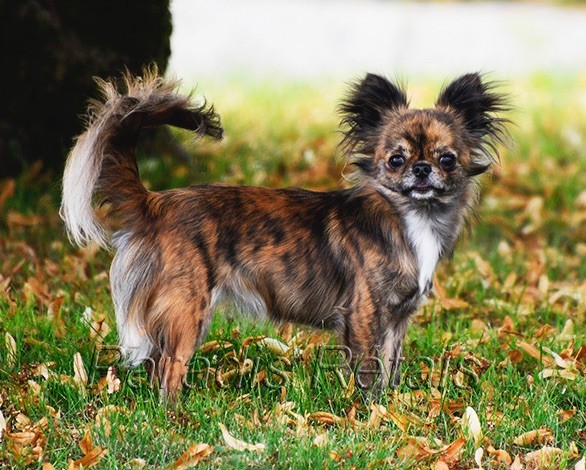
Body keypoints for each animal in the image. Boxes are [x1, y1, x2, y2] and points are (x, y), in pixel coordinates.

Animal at [60, 69, 506, 396]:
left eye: (447, 159)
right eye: (396, 160)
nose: (422, 168)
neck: (410, 218)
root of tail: (156, 203)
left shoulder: (397, 320)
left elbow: (389, 368)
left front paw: (392, 408)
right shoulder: (363, 313)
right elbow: (366, 369)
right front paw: (368, 414)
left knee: (157, 365)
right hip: (188, 307)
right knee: (167, 370)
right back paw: (175, 417)